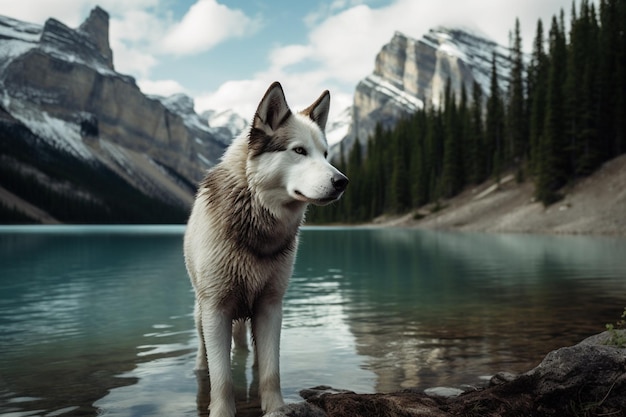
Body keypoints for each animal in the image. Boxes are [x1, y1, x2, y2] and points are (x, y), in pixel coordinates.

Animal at [183, 82, 348, 416]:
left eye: (325, 154)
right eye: (299, 151)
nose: (343, 181)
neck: (256, 224)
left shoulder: (271, 306)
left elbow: (272, 373)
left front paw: (276, 408)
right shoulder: (216, 310)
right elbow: (222, 379)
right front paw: (221, 410)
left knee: (255, 355)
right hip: (201, 313)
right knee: (205, 352)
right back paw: (200, 369)